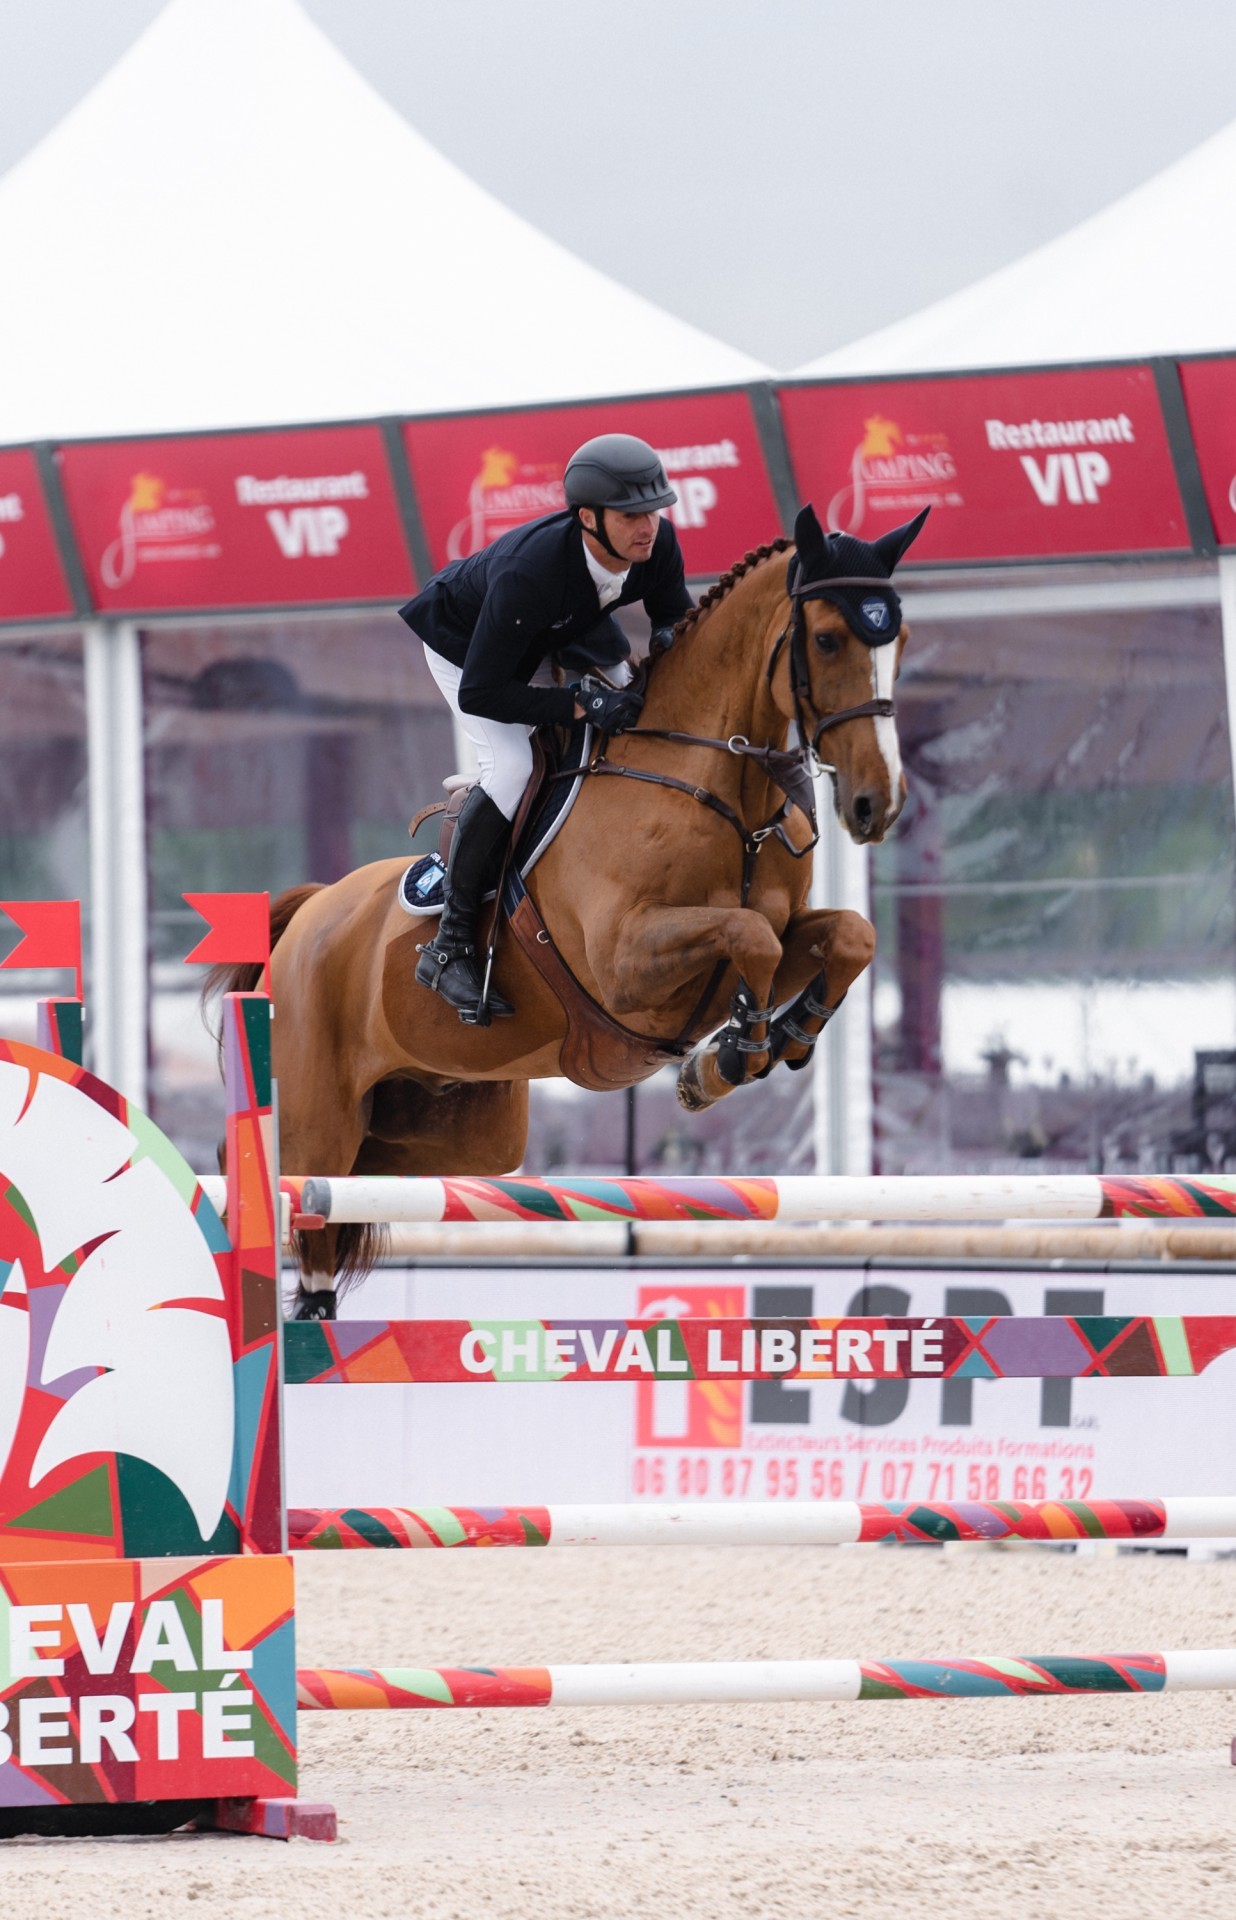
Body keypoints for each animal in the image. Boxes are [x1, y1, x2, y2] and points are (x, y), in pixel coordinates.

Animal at [207, 499, 921, 1320]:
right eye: (829, 638)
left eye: (900, 639)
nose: (876, 805)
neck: (720, 790)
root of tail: (309, 913)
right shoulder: (625, 965)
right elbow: (750, 939)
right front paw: (730, 1056)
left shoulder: (773, 929)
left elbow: (848, 936)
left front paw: (777, 1038)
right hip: (314, 1116)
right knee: (287, 1184)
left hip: (448, 1135)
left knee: (345, 1204)